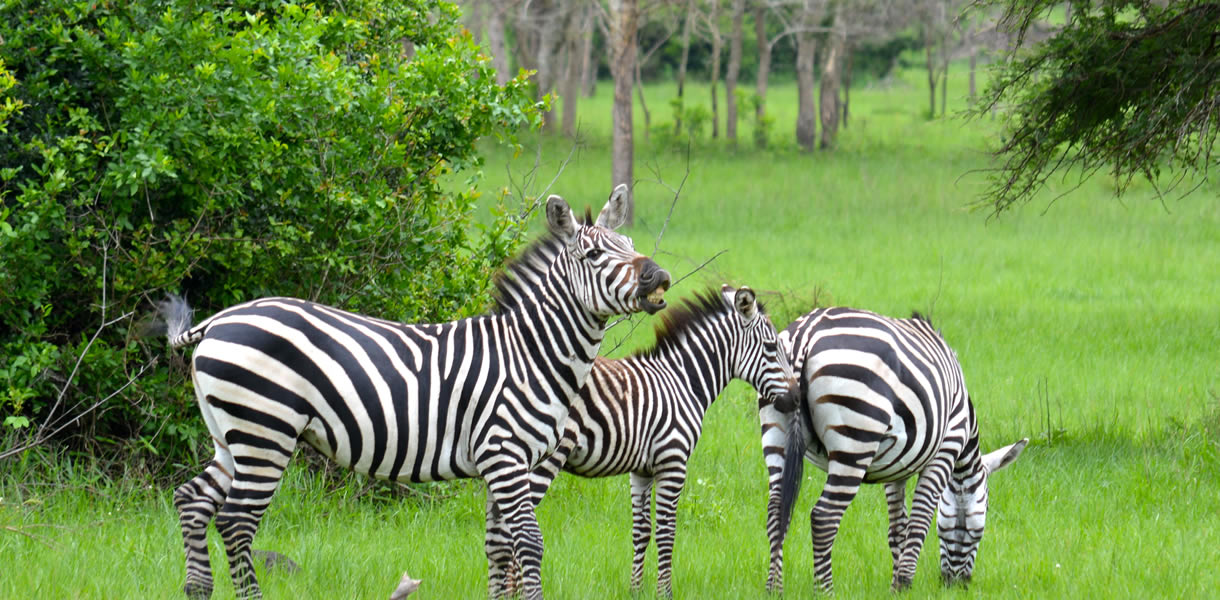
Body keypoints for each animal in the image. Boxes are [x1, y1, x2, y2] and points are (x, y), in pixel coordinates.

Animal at [153, 187, 673, 600]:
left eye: (629, 245)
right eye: (594, 256)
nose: (659, 275)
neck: (530, 352)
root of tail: (218, 320)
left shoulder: (503, 463)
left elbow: (498, 546)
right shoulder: (506, 455)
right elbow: (528, 542)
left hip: (231, 435)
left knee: (192, 500)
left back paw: (197, 590)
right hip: (266, 431)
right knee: (236, 521)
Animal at [485, 284, 800, 597]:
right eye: (772, 347)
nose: (796, 399)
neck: (682, 382)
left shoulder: (641, 470)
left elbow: (641, 531)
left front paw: (635, 589)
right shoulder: (672, 462)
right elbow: (666, 531)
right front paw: (665, 592)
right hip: (539, 461)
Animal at [761, 309, 1029, 595]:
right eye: (982, 522)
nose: (956, 586)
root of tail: (806, 334)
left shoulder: (897, 465)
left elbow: (898, 529)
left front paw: (895, 586)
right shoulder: (945, 451)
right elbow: (920, 522)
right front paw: (904, 584)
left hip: (777, 425)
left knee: (776, 510)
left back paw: (774, 589)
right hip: (856, 439)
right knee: (824, 516)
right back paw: (825, 591)